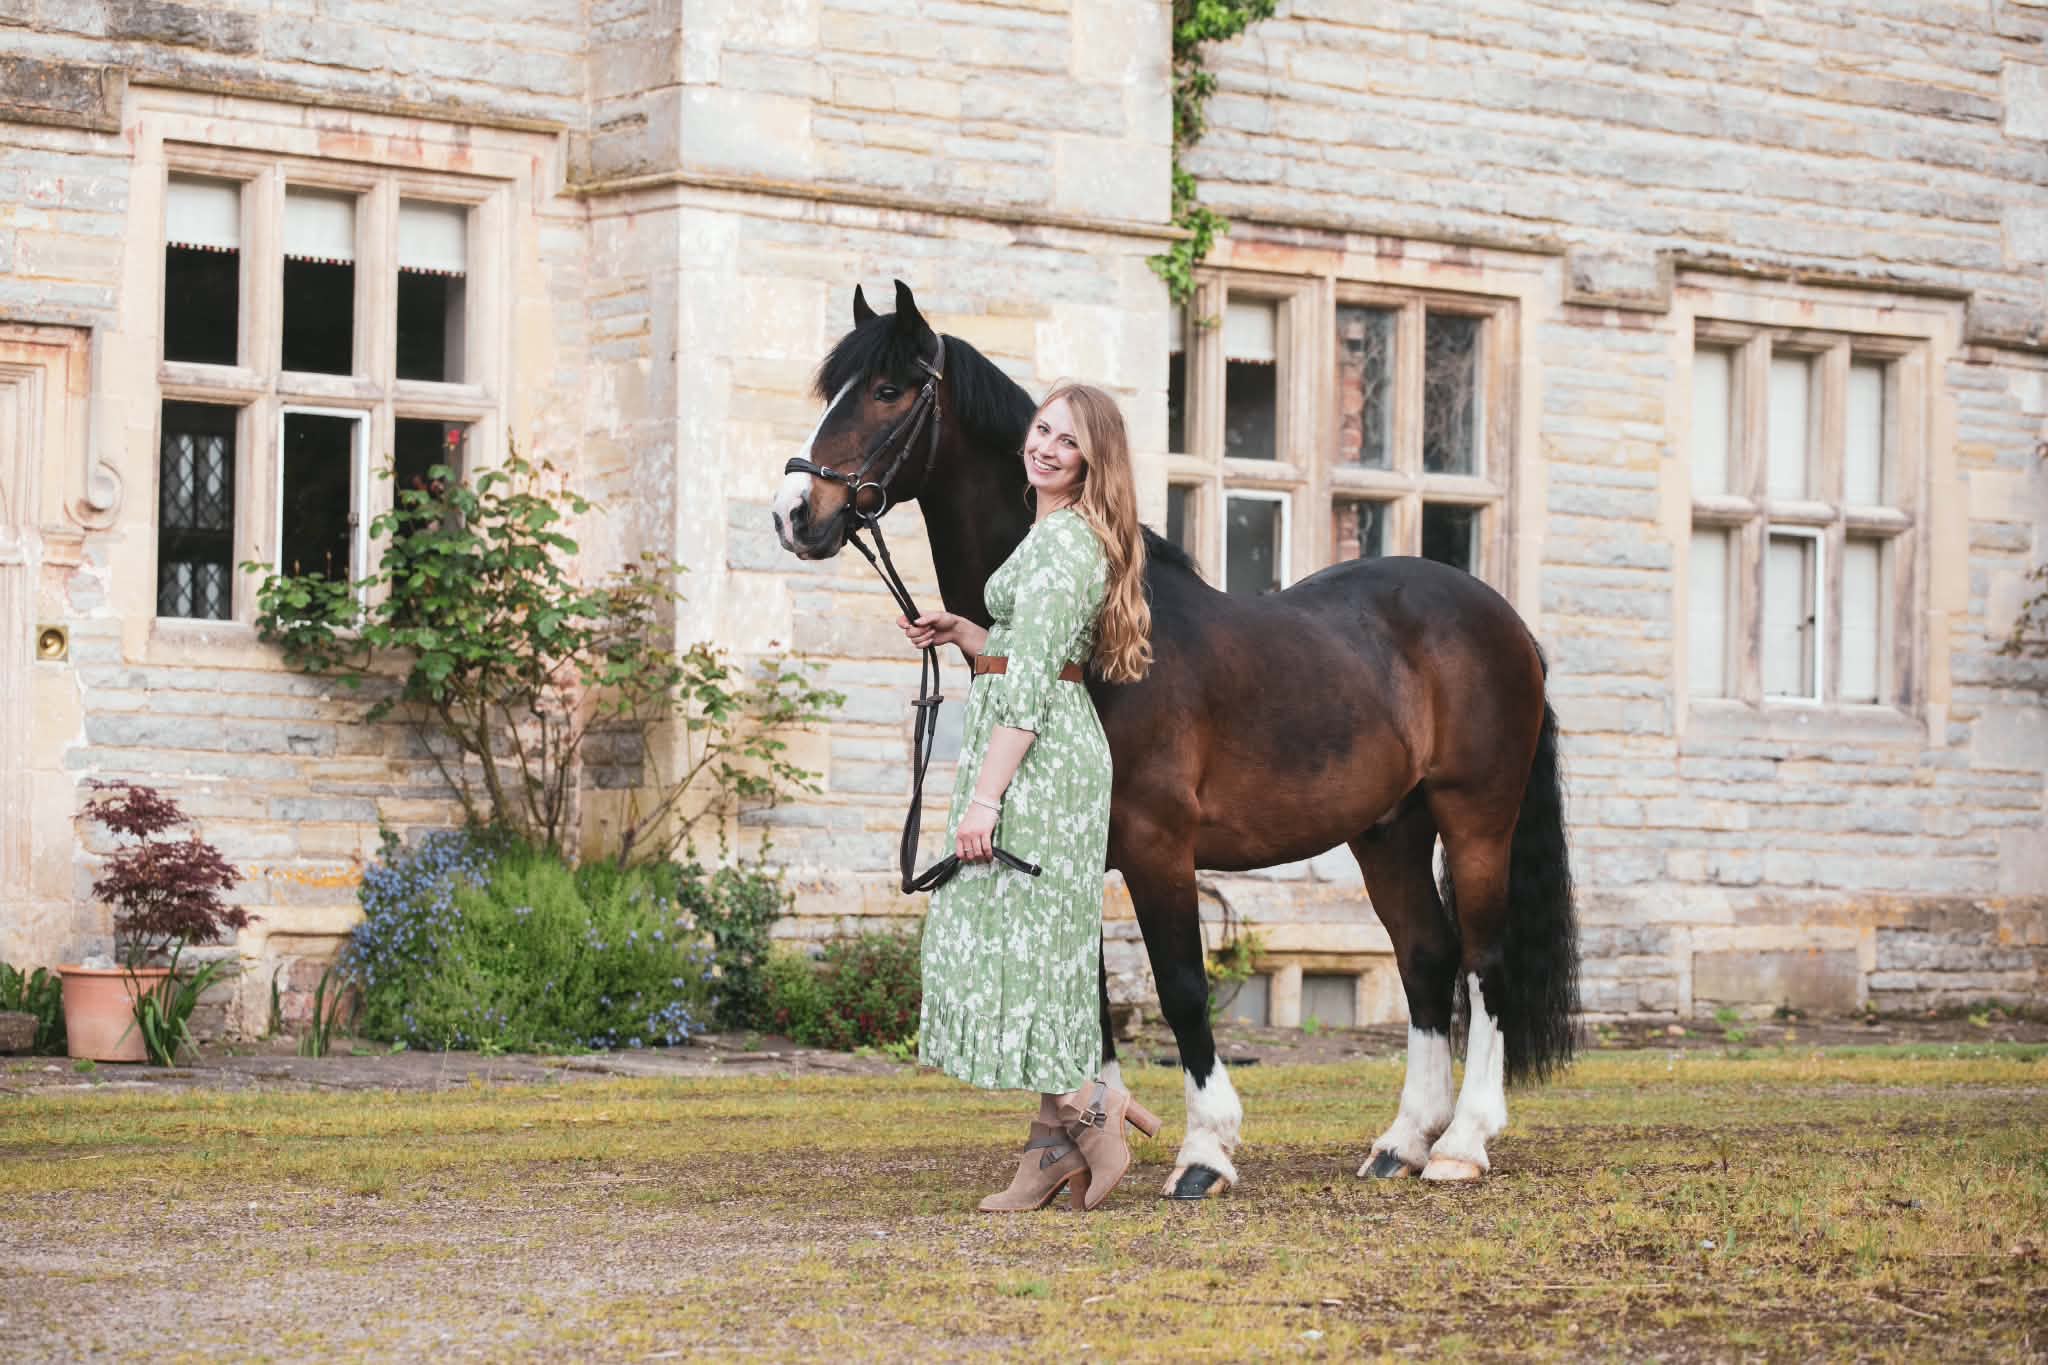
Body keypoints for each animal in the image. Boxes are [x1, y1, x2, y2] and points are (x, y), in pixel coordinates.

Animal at [772, 281, 1577, 1195]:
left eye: (887, 390)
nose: (794, 514)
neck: (1100, 649)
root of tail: (1503, 619)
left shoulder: (1161, 848)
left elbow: (1183, 986)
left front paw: (1205, 1151)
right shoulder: (1075, 853)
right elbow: (1090, 1001)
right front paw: (1089, 1142)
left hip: (1475, 819)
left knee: (1484, 960)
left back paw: (1461, 1144)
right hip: (1388, 831)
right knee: (1425, 957)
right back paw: (1400, 1141)